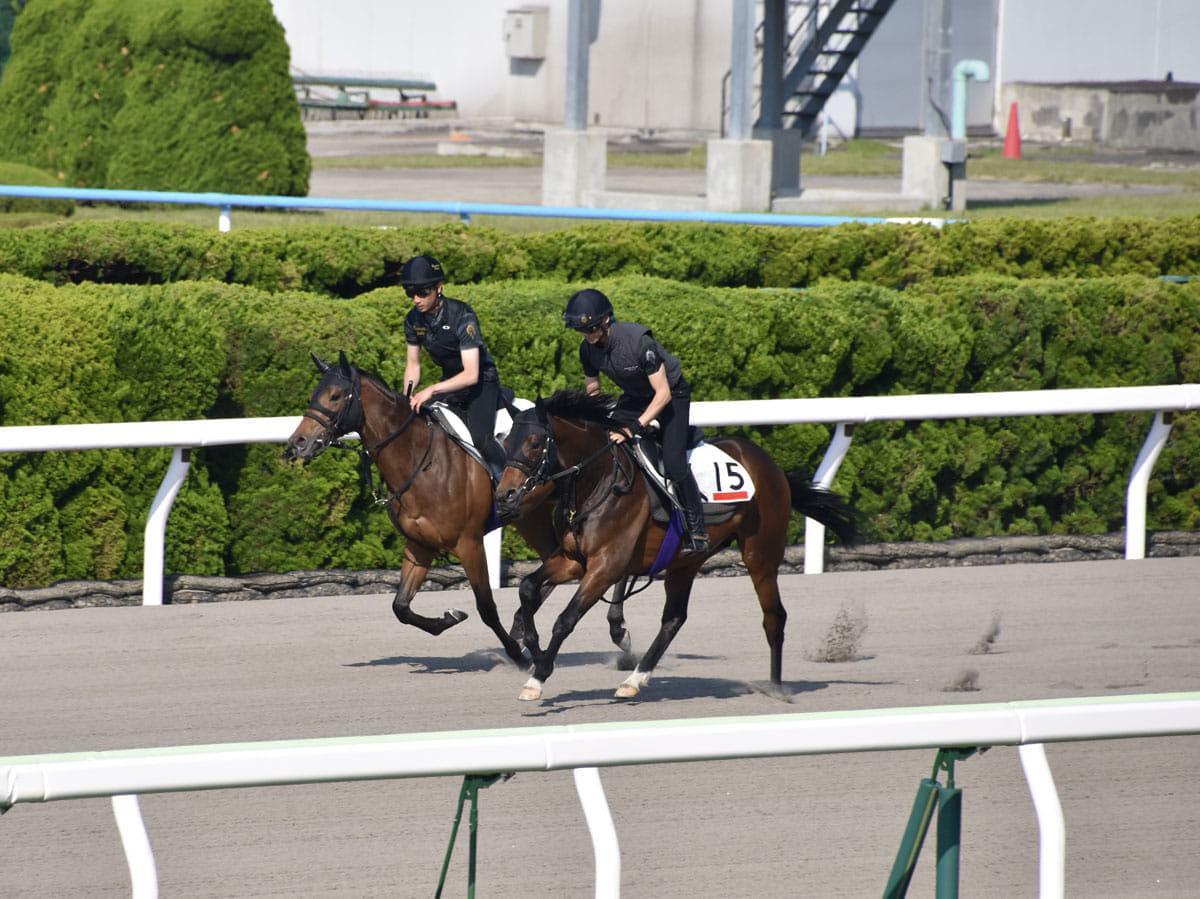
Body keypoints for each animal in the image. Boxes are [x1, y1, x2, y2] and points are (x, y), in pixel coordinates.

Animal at [283, 350, 568, 667]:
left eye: (334, 396)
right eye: (313, 395)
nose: (298, 443)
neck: (421, 460)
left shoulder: (469, 543)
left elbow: (486, 607)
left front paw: (517, 655)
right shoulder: (420, 544)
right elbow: (401, 606)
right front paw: (450, 618)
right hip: (530, 517)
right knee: (553, 560)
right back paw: (521, 623)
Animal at [492, 391, 859, 700]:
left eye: (535, 443)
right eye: (506, 441)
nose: (504, 496)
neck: (598, 481)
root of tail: (773, 466)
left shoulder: (606, 566)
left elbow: (565, 619)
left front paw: (538, 676)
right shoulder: (573, 559)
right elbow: (527, 587)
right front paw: (533, 650)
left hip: (760, 554)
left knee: (774, 616)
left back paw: (777, 687)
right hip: (687, 561)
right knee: (674, 618)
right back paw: (634, 679)